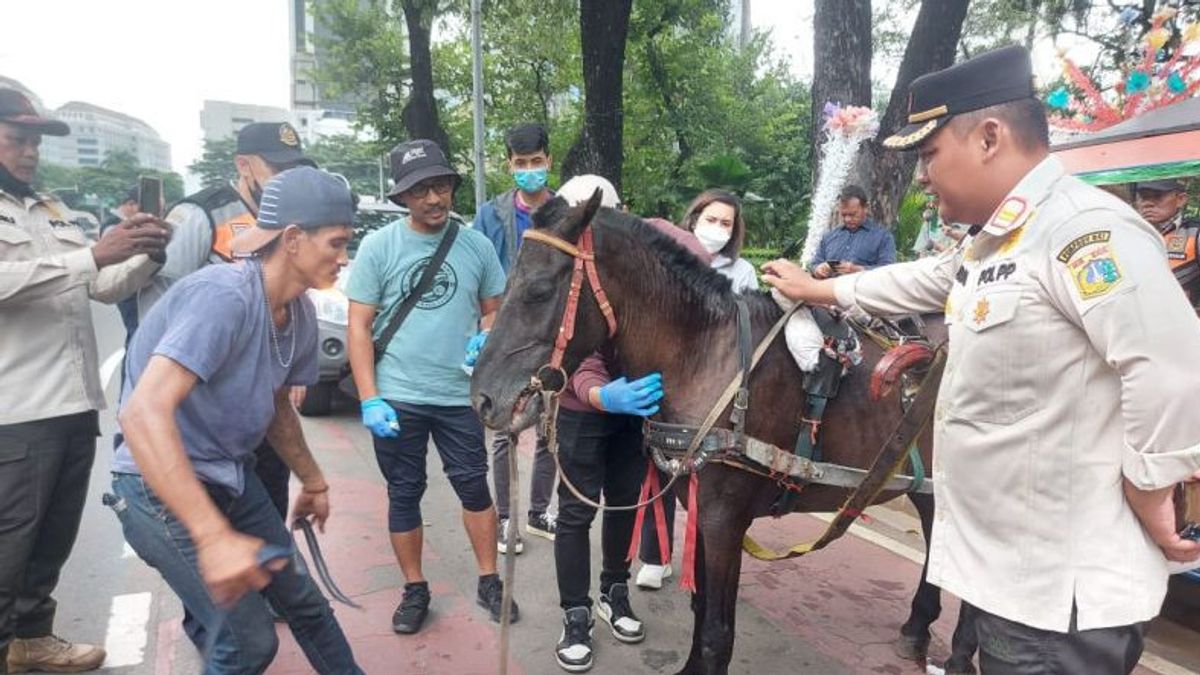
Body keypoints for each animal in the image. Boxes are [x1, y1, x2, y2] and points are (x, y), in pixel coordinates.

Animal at [468, 192, 974, 667]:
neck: (705, 353)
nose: (483, 398)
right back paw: (918, 626)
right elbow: (701, 609)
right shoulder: (696, 503)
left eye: (538, 291)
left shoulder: (723, 518)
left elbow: (716, 632)